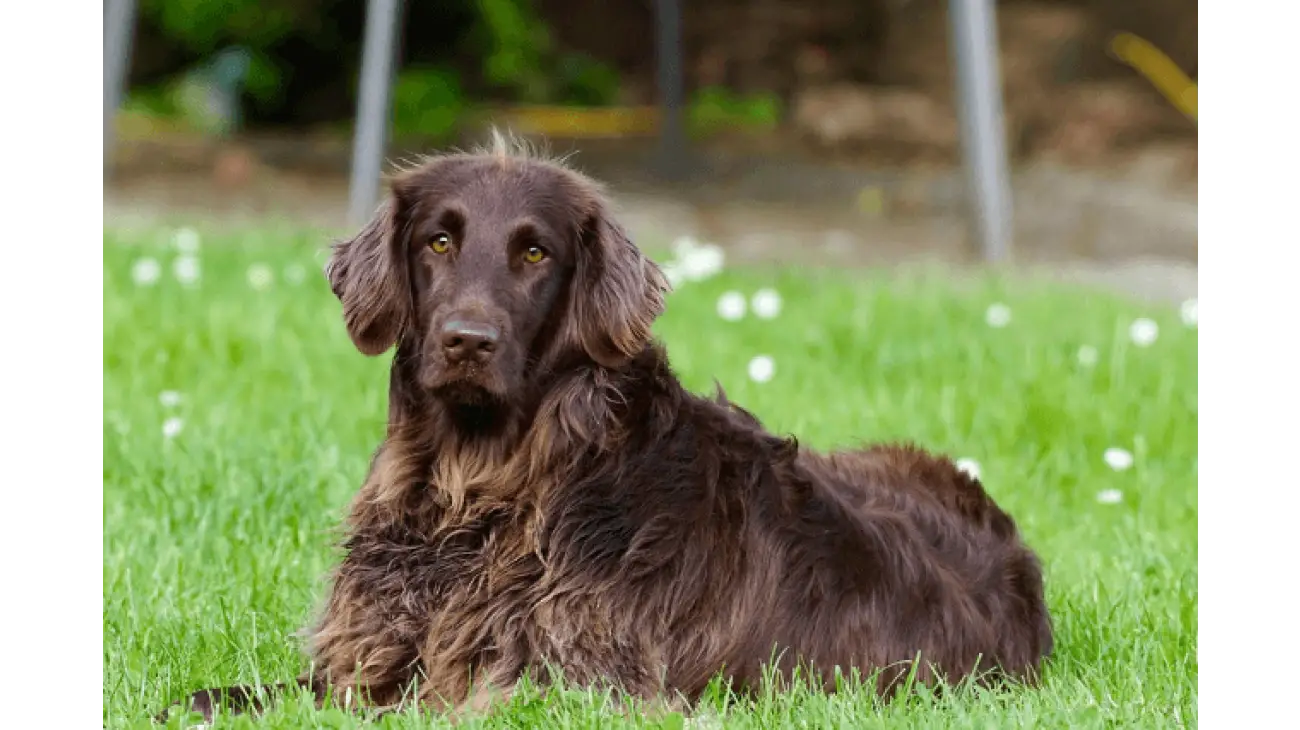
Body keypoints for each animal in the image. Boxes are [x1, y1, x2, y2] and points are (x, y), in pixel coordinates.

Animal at [159, 135, 1055, 722]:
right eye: (439, 241)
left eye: (535, 255)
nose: (467, 341)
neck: (486, 490)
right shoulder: (368, 656)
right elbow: (231, 695)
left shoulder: (576, 685)